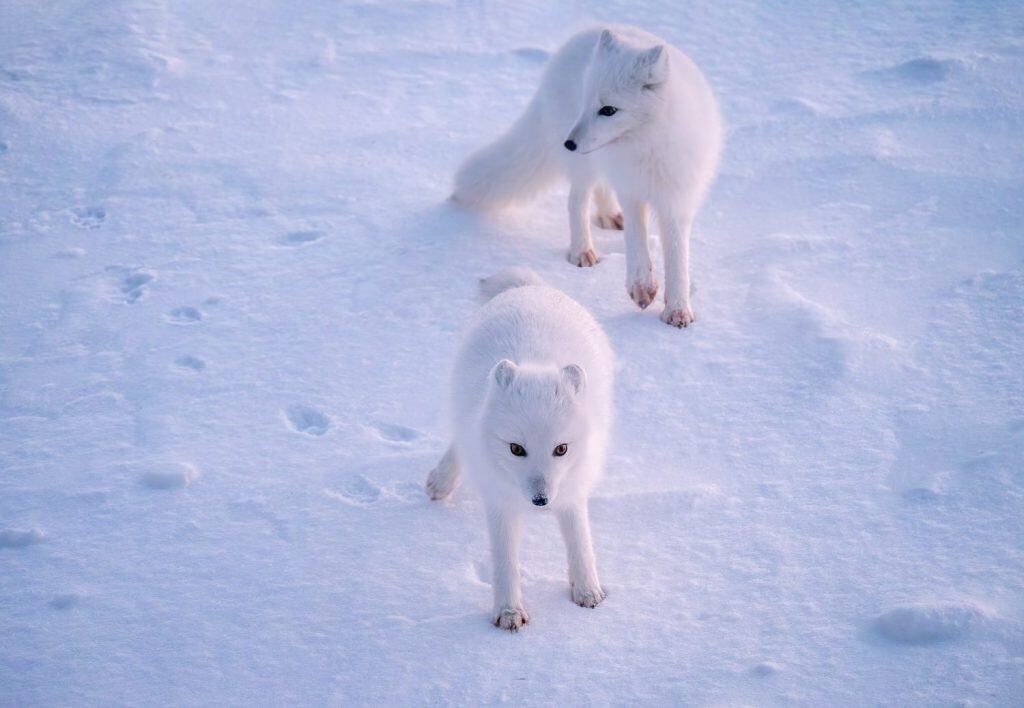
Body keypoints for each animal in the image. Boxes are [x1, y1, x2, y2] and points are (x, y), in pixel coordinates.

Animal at [426, 268, 614, 631]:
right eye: (516, 448)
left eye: (561, 449)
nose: (540, 501)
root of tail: (530, 288)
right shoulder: (500, 499)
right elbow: (504, 559)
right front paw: (509, 611)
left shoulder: (571, 488)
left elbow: (580, 540)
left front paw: (587, 590)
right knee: (461, 440)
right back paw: (440, 481)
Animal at [452, 26, 722, 328]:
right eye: (587, 103)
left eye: (609, 110)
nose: (568, 144)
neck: (646, 147)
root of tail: (579, 36)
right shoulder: (630, 190)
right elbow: (636, 240)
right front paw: (641, 286)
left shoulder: (677, 199)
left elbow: (677, 254)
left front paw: (677, 309)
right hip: (585, 165)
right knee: (576, 201)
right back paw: (582, 250)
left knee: (600, 190)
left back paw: (608, 217)